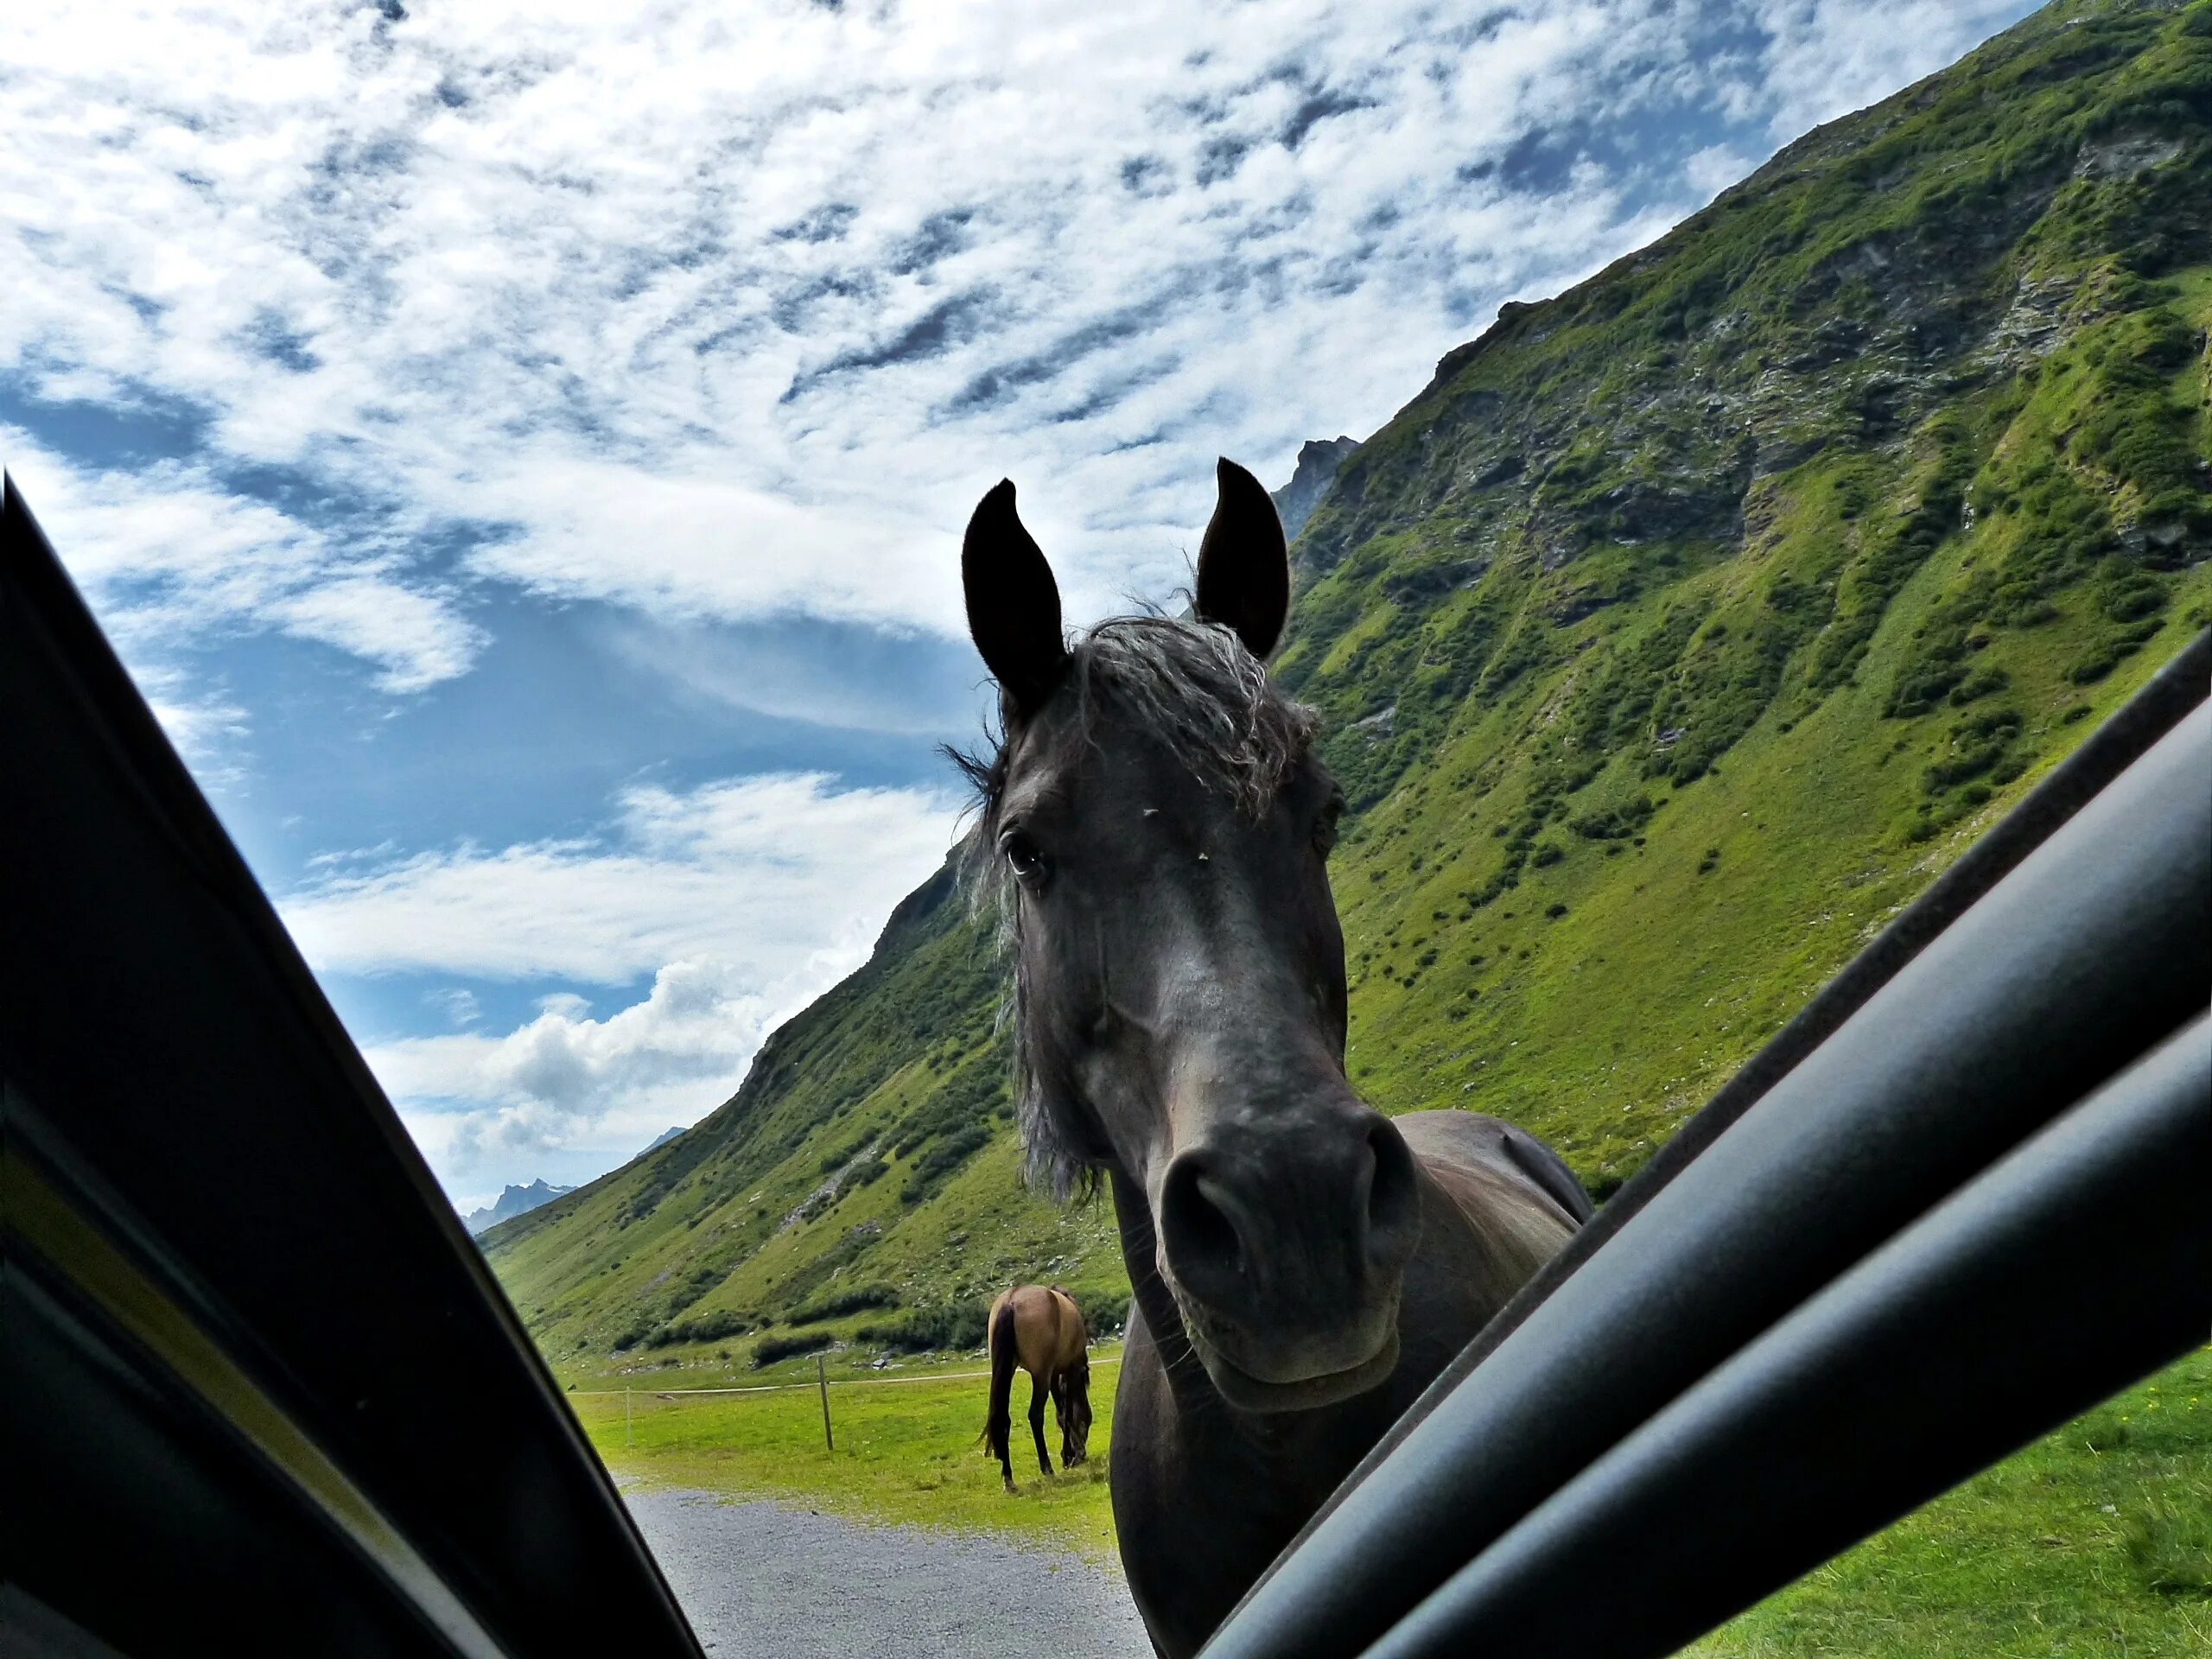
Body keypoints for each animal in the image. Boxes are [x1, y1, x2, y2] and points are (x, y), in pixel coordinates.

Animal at [982, 1282, 1092, 1495]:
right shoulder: (1071, 1370)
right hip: (1040, 1374)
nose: (1082, 1454)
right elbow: (1067, 1414)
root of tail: (1011, 1301)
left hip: (1008, 1369)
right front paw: (1069, 1456)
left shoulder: (1055, 1375)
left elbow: (1061, 1413)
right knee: (1035, 1415)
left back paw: (1008, 1479)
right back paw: (1047, 1468)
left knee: (1003, 1418)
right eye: (1088, 1421)